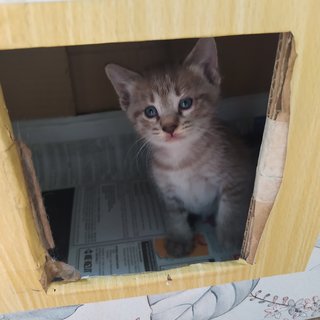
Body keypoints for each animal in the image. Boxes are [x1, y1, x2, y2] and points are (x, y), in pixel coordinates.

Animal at [106, 38, 254, 258]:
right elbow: (174, 215)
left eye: (186, 103)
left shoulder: (237, 177)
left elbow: (230, 208)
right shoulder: (167, 193)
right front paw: (180, 238)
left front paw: (230, 238)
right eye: (150, 112)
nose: (169, 128)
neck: (181, 160)